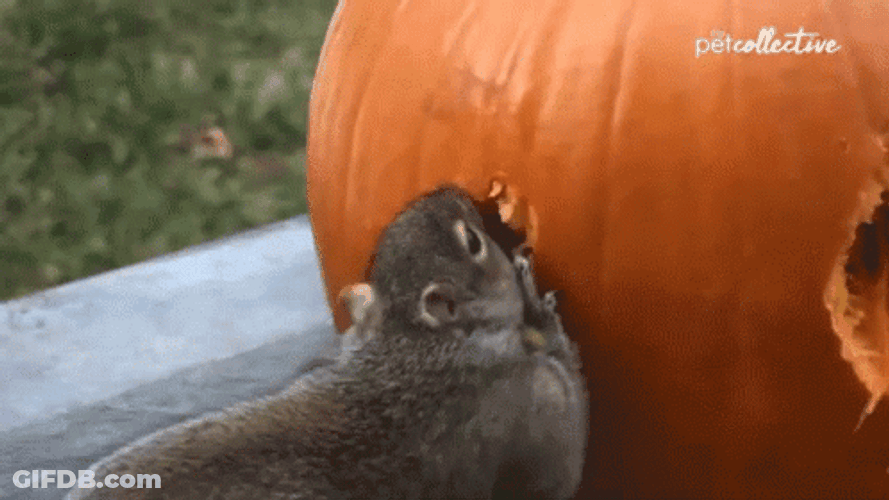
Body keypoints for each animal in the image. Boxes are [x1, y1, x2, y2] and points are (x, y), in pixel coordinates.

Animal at [66, 185, 587, 500]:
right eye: (472, 242)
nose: (452, 191)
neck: (419, 349)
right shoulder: (534, 405)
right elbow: (559, 471)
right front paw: (540, 309)